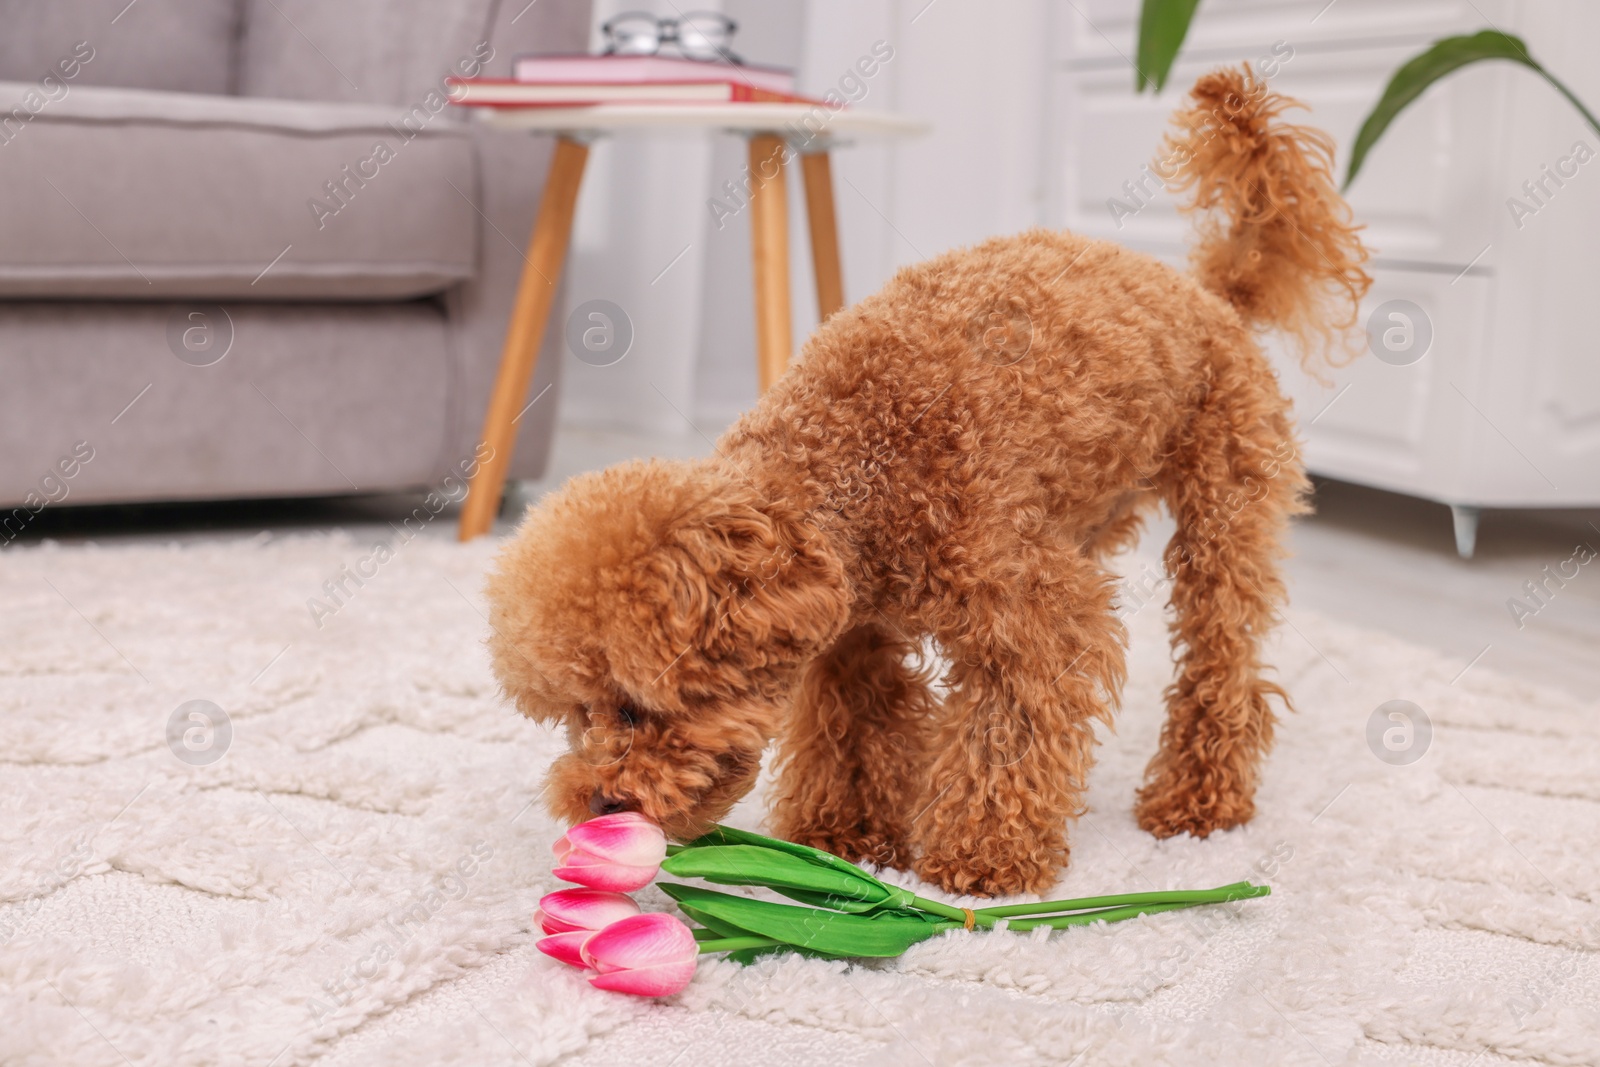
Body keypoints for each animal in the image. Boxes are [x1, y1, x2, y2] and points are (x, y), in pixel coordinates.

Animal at [480, 66, 1369, 895]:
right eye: (574, 714)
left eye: (632, 705)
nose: (598, 803)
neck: (854, 470)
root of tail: (1211, 294)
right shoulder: (853, 635)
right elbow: (856, 730)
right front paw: (842, 837)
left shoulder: (1029, 614)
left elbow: (1008, 732)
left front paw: (982, 860)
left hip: (1223, 511)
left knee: (1223, 658)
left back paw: (1198, 799)